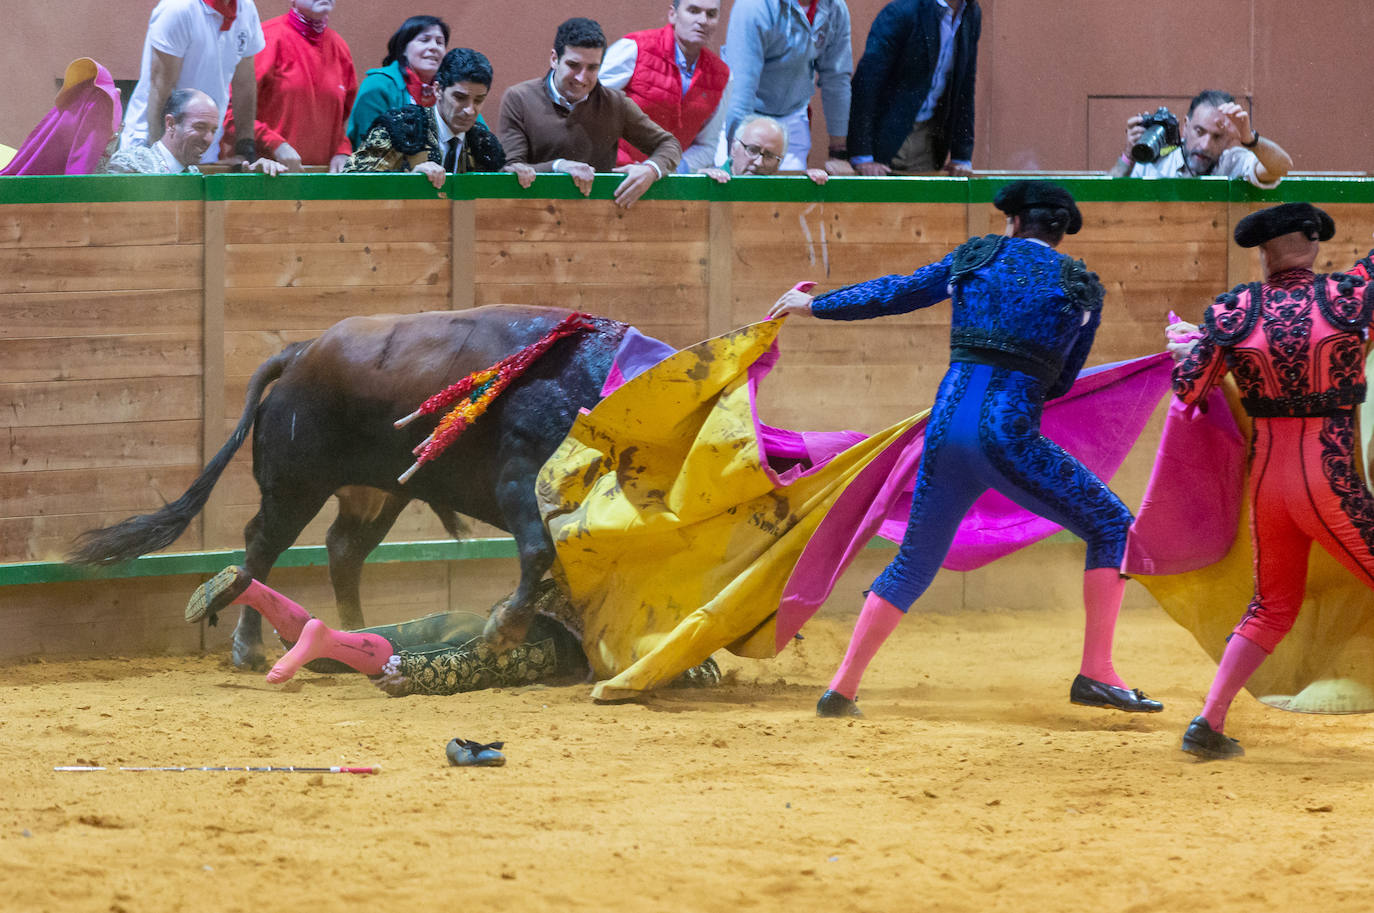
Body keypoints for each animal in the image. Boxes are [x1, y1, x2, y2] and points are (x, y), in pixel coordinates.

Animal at [72, 302, 629, 668]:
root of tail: (301, 352)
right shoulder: (519, 479)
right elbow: (538, 550)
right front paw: (502, 631)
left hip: (378, 493)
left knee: (343, 549)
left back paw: (356, 633)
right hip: (296, 487)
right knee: (262, 545)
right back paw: (249, 648)